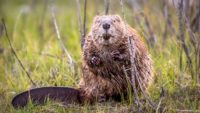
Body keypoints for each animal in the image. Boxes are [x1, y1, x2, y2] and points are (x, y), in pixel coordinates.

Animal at [11, 14, 153, 108]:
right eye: (98, 21)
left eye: (114, 20)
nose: (106, 25)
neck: (107, 46)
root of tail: (80, 92)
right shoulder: (89, 41)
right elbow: (87, 55)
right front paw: (95, 59)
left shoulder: (130, 38)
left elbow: (132, 53)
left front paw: (117, 55)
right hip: (91, 86)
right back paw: (101, 99)